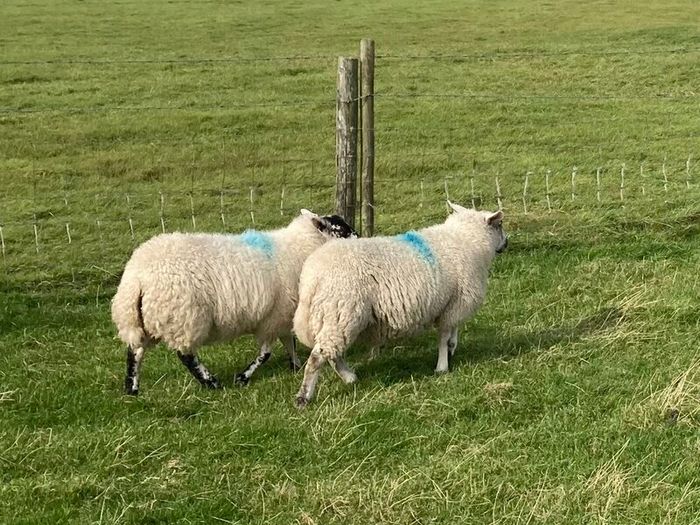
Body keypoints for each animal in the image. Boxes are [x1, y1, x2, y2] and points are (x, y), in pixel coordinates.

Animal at [111, 209, 356, 396]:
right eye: (342, 230)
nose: (361, 240)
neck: (300, 248)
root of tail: (135, 277)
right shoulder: (273, 317)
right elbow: (266, 353)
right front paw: (243, 377)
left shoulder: (283, 314)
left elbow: (289, 343)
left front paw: (295, 366)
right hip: (184, 317)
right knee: (186, 355)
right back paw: (211, 382)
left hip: (147, 318)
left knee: (135, 351)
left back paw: (132, 388)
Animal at [292, 202, 508, 407]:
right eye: (499, 225)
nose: (507, 243)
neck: (466, 240)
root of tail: (311, 277)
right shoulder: (457, 302)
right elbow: (444, 336)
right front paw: (442, 366)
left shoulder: (452, 303)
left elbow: (452, 331)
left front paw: (451, 350)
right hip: (341, 313)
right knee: (318, 357)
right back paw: (304, 397)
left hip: (332, 317)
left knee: (331, 354)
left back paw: (350, 377)